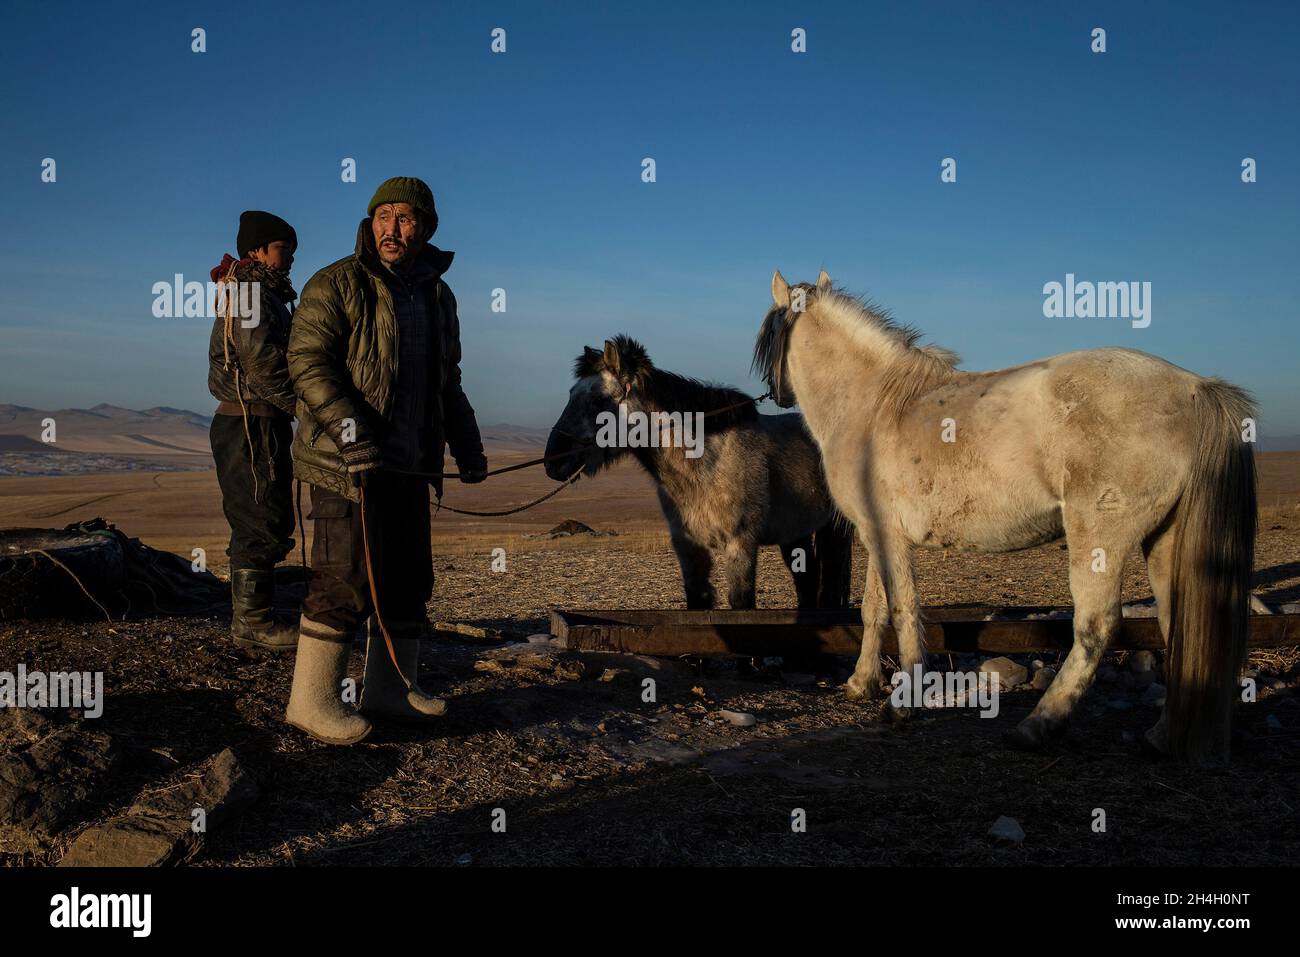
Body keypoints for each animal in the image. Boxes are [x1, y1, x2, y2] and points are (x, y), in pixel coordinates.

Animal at [545, 335, 852, 610]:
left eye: (598, 400)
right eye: (571, 395)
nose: (552, 462)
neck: (705, 464)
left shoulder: (740, 545)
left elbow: (742, 604)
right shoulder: (689, 549)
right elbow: (698, 603)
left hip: (833, 529)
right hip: (795, 534)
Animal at [754, 270, 1256, 764]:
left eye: (773, 329)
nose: (775, 394)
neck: (872, 402)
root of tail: (1195, 389)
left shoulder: (885, 537)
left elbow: (902, 609)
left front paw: (902, 705)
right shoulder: (877, 533)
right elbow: (873, 609)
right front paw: (861, 684)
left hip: (1098, 538)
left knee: (1096, 626)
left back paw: (1038, 725)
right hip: (1164, 539)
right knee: (1176, 624)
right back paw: (1161, 735)